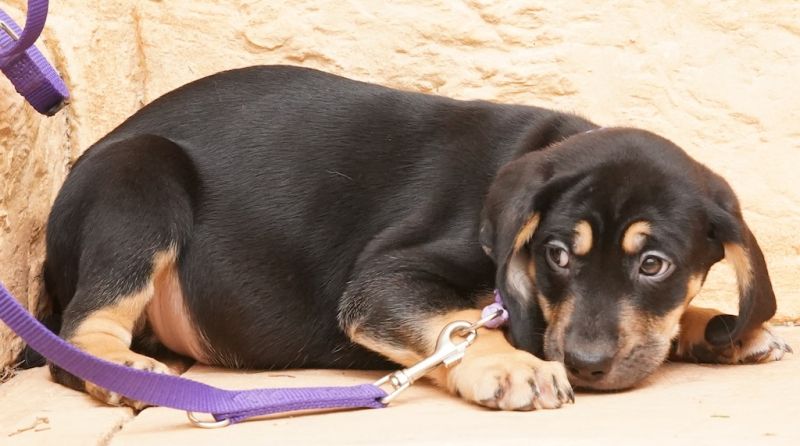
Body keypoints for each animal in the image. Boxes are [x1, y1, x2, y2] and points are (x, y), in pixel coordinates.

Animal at [35, 65, 790, 411]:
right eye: (555, 255)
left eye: (654, 265)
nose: (584, 363)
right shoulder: (383, 280)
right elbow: (459, 322)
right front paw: (512, 366)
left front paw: (716, 326)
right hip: (142, 178)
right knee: (77, 338)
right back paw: (122, 371)